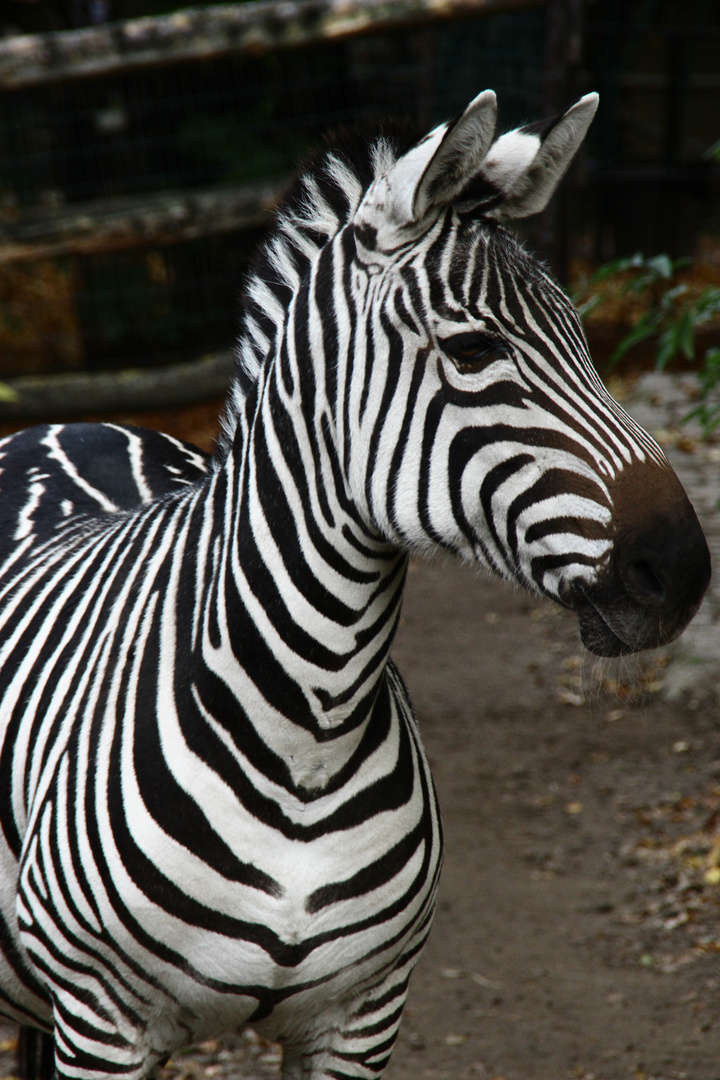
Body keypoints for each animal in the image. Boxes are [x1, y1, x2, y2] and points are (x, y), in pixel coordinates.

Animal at [0, 92, 708, 1080]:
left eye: (581, 334)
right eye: (473, 347)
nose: (681, 570)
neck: (308, 729)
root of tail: (63, 424)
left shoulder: (361, 1015)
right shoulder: (104, 1024)